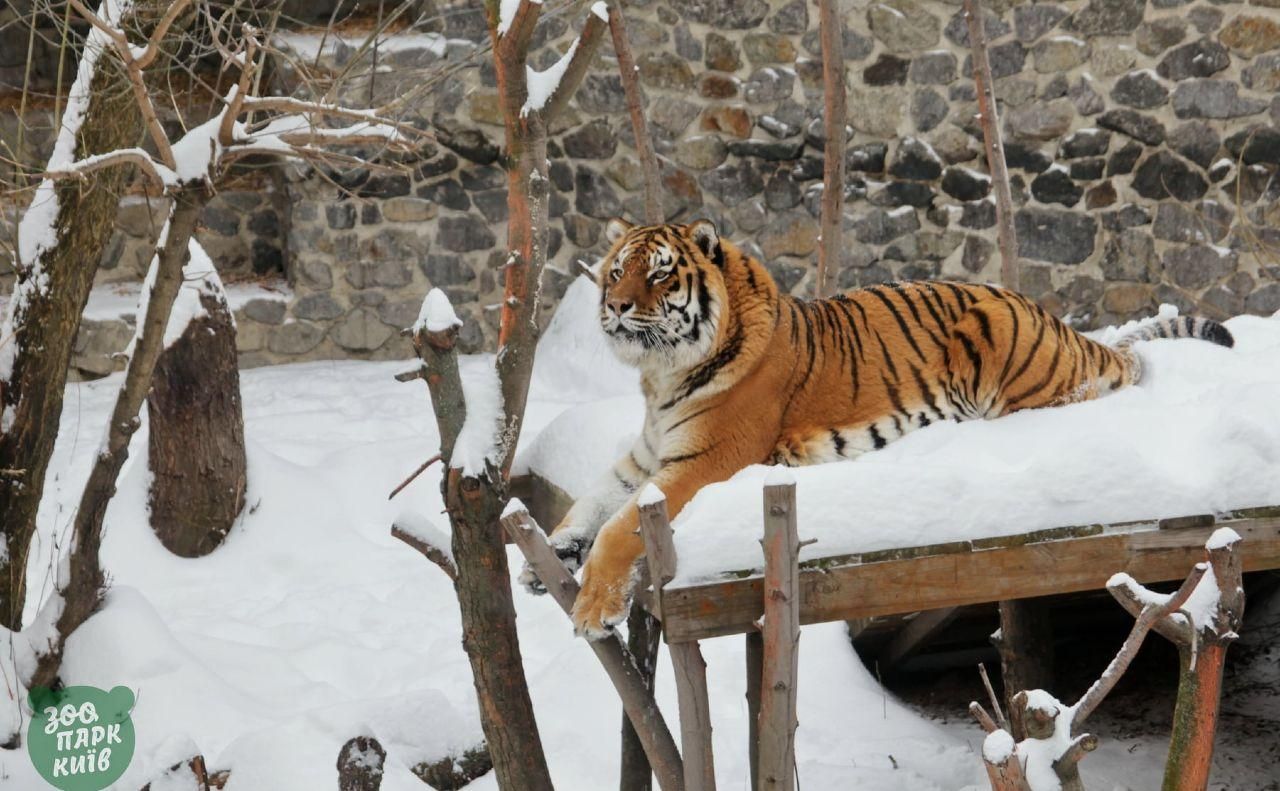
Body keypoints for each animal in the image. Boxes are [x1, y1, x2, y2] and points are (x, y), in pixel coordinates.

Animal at [522, 218, 1239, 637]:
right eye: (618, 269)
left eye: (661, 272)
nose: (615, 307)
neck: (662, 375)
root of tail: (1051, 317)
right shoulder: (644, 458)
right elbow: (591, 502)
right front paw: (549, 554)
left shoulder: (706, 460)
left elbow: (620, 528)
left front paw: (592, 608)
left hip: (1013, 358)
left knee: (1115, 377)